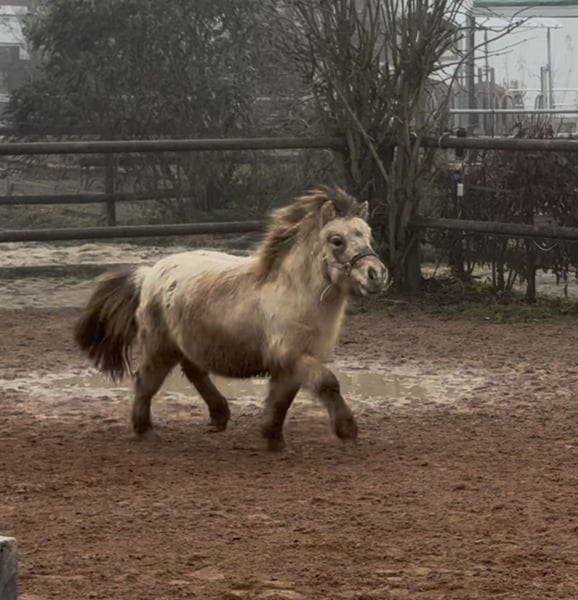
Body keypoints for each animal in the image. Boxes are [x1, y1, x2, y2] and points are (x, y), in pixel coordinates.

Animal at [74, 186, 389, 450]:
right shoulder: (291, 356)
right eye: (337, 240)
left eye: (368, 235)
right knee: (145, 381)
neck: (293, 294)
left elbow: (281, 401)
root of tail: (149, 272)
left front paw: (273, 438)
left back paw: (219, 416)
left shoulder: (290, 365)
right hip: (158, 346)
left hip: (186, 343)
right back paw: (145, 430)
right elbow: (327, 382)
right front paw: (347, 430)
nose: (376, 274)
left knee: (194, 371)